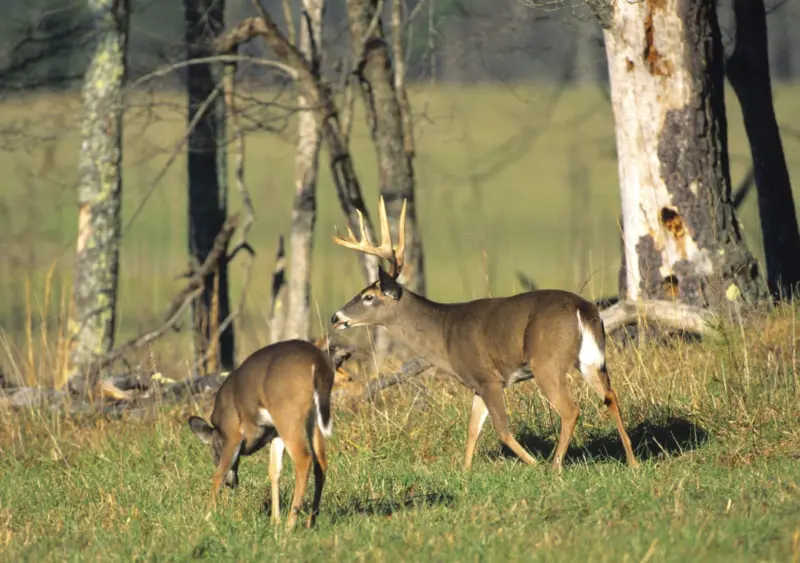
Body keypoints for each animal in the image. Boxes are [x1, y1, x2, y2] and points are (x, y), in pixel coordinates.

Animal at [187, 338, 339, 529]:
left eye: (214, 453)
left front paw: (206, 518)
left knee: (304, 459)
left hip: (287, 414)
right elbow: (274, 471)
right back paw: (310, 521)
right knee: (321, 462)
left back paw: (290, 524)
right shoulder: (275, 433)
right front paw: (274, 520)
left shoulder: (232, 433)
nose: (232, 484)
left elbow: (218, 474)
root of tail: (318, 361)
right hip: (312, 417)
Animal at [329, 197, 640, 472]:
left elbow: (501, 429)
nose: (336, 317)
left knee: (570, 410)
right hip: (591, 359)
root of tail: (582, 308)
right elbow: (473, 429)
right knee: (610, 396)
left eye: (368, 297)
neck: (443, 333)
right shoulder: (477, 383)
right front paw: (465, 473)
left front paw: (533, 463)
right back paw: (632, 461)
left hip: (547, 362)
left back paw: (554, 467)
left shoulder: (489, 378)